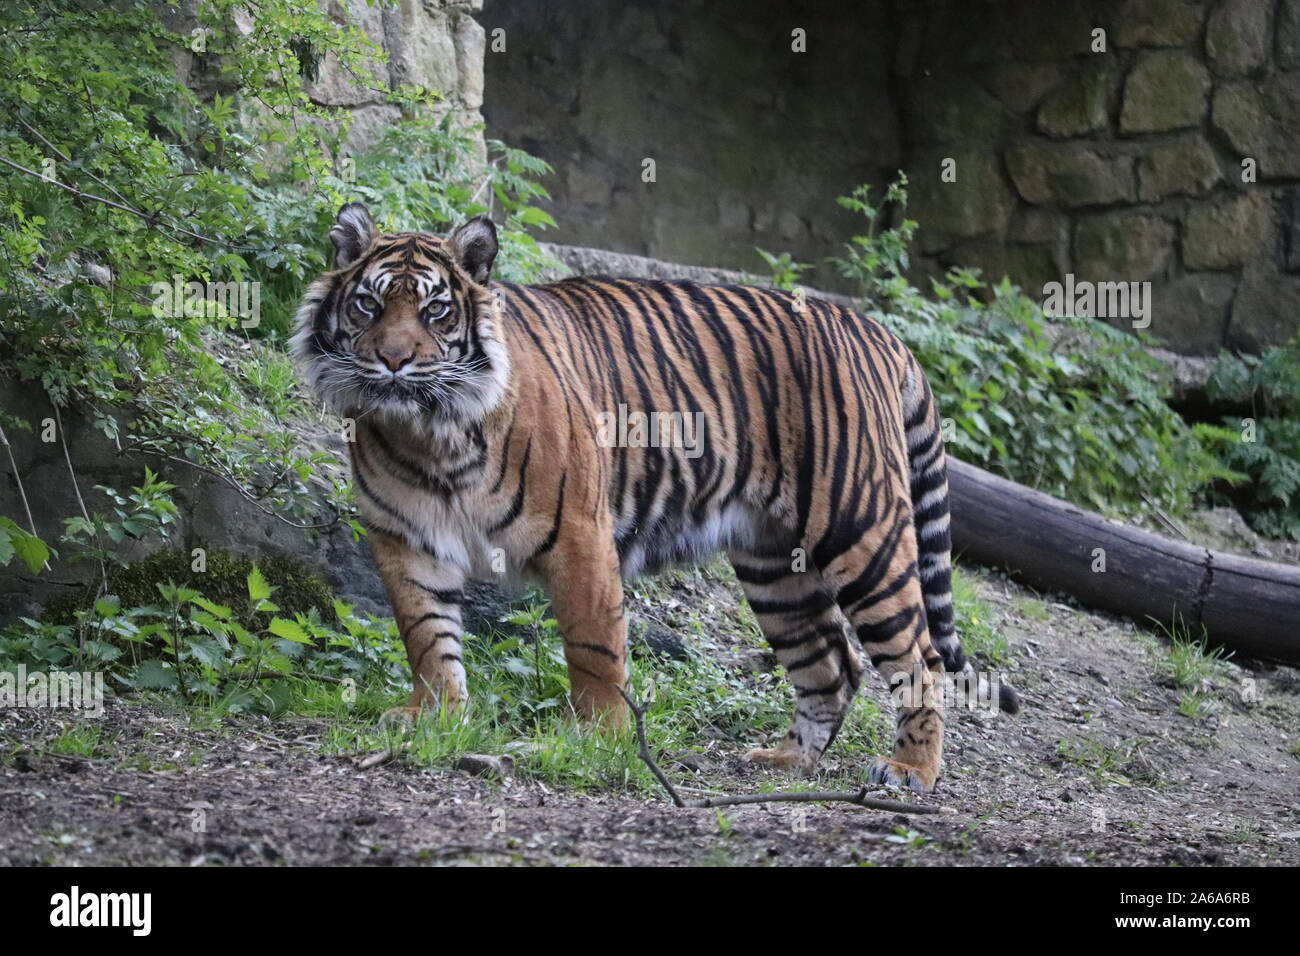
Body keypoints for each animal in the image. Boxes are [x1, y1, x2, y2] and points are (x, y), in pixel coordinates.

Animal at [292, 200, 1013, 790]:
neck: (428, 433)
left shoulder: (579, 535)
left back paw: (910, 771)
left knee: (920, 658)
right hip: (774, 566)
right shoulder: (405, 540)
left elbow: (594, 648)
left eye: (436, 310)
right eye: (368, 306)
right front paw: (435, 717)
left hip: (861, 530)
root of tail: (880, 333)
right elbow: (425, 636)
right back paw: (786, 760)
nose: (392, 361)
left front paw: (597, 739)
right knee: (831, 663)